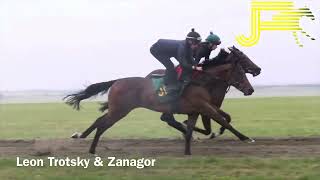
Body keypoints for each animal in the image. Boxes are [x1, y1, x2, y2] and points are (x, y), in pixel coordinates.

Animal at [65, 51, 255, 155]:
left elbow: (201, 126)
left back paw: (82, 137)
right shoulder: (204, 106)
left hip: (117, 109)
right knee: (103, 125)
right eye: (240, 72)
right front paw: (246, 137)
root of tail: (117, 81)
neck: (201, 81)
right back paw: (91, 148)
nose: (250, 89)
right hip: (120, 110)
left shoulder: (197, 109)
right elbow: (223, 121)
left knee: (100, 121)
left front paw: (188, 150)